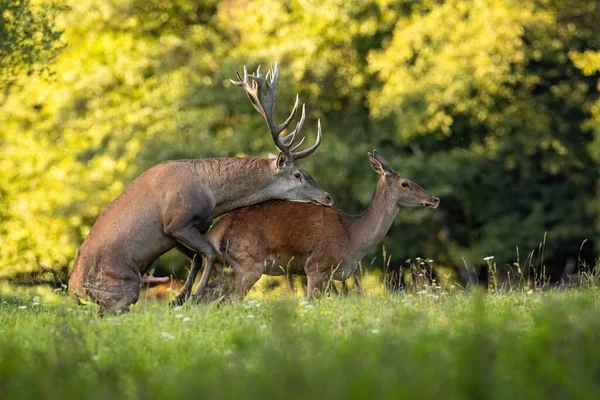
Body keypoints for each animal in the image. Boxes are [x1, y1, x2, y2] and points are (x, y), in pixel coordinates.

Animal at [71, 64, 336, 312]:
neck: (213, 195)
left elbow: (199, 257)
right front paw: (193, 295)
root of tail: (74, 290)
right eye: (298, 174)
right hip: (124, 286)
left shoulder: (184, 231)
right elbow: (209, 252)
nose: (328, 197)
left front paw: (180, 298)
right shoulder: (176, 222)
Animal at [192, 152, 440, 302]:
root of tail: (215, 233)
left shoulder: (331, 276)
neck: (354, 237)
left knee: (202, 297)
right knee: (228, 301)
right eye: (405, 183)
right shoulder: (317, 266)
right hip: (248, 264)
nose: (434, 199)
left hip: (225, 268)